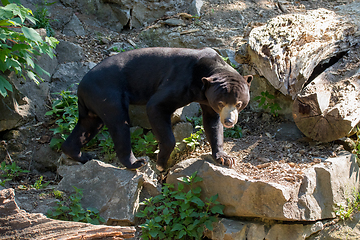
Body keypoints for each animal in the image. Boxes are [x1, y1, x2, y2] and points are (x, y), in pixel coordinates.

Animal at [61, 47, 253, 171]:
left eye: (238, 104)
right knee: (119, 124)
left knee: (88, 125)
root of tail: (81, 86)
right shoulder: (181, 81)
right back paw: (136, 163)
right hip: (108, 94)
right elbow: (156, 106)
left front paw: (225, 158)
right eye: (221, 103)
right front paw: (161, 164)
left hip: (94, 103)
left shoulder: (207, 100)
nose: (229, 121)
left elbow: (212, 123)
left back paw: (80, 155)